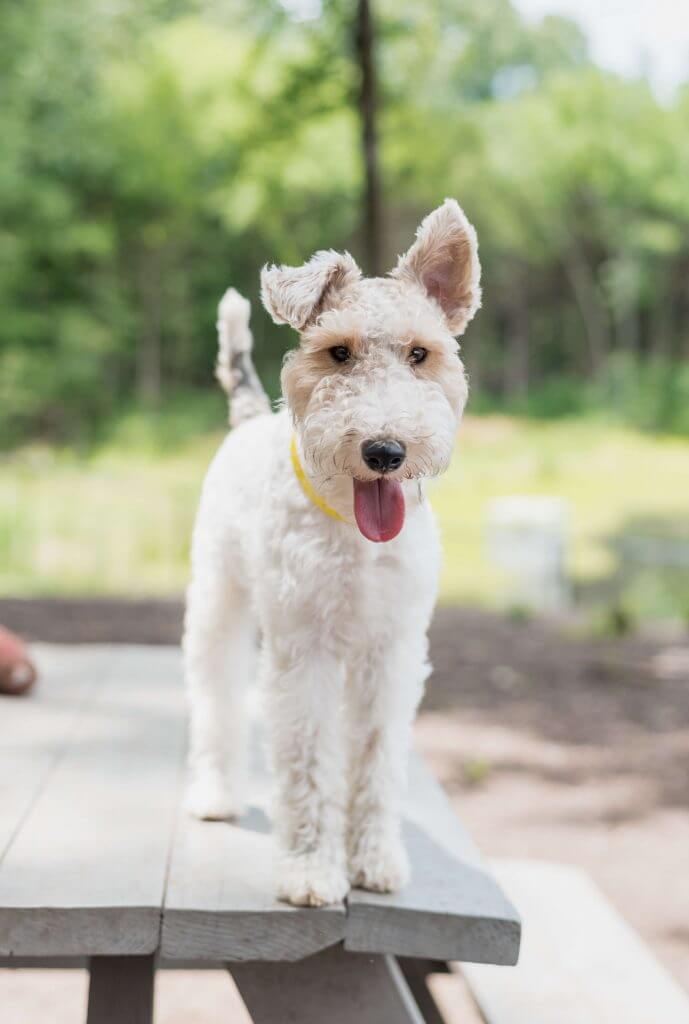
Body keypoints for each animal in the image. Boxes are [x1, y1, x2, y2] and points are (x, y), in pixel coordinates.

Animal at [185, 199, 481, 905]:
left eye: (420, 353)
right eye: (337, 352)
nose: (385, 451)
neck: (353, 531)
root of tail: (248, 419)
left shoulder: (391, 652)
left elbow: (374, 759)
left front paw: (373, 859)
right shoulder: (306, 650)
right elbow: (309, 762)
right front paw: (312, 869)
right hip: (218, 603)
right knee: (215, 700)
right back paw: (213, 793)